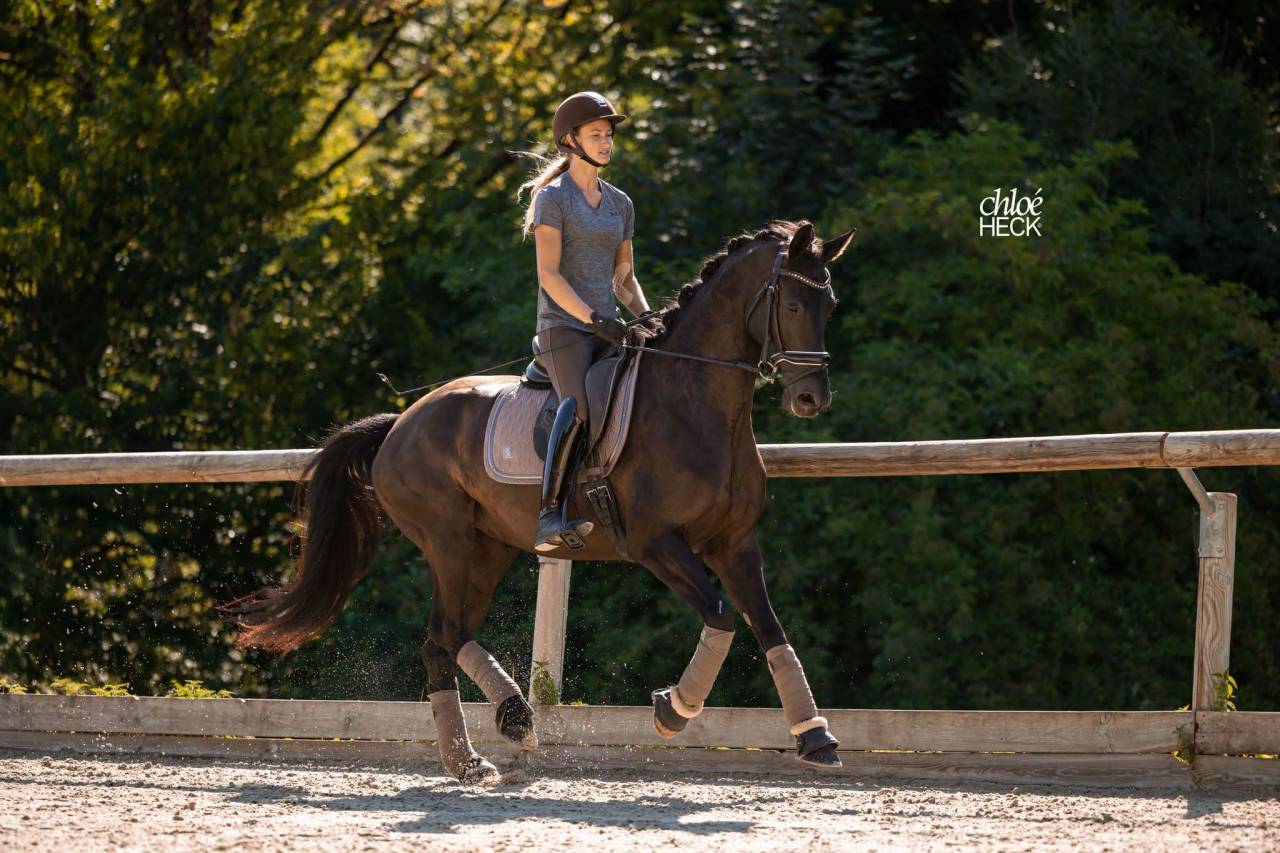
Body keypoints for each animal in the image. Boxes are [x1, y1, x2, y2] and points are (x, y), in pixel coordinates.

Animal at [228, 219, 856, 785]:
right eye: (791, 304)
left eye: (828, 304)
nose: (812, 398)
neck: (697, 405)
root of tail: (399, 424)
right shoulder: (656, 543)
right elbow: (723, 616)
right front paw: (672, 711)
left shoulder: (734, 543)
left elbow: (770, 627)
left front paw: (816, 738)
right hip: (448, 541)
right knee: (441, 635)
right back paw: (493, 739)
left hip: (489, 549)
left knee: (445, 638)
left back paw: (493, 740)